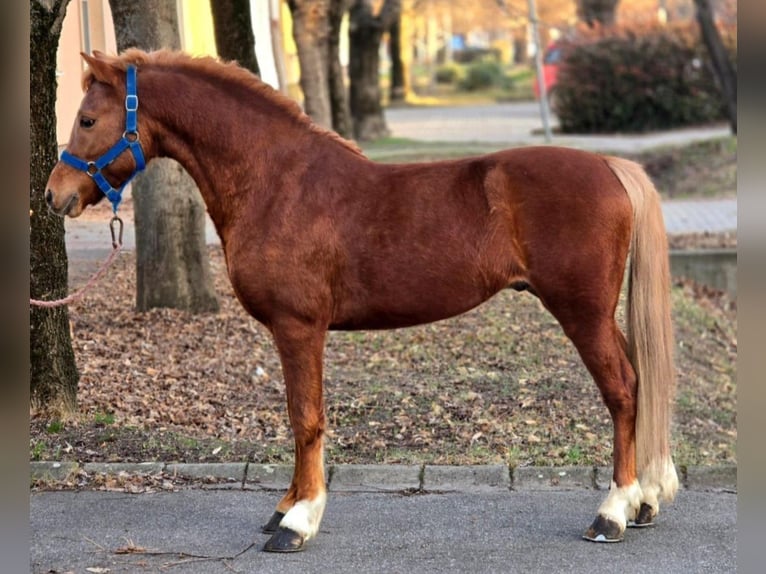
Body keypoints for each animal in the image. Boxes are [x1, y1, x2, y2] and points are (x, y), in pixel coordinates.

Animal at [45, 49, 678, 553]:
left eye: (88, 118)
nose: (55, 195)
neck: (276, 181)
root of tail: (610, 166)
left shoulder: (298, 327)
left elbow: (305, 418)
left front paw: (297, 521)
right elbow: (299, 417)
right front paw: (285, 506)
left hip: (582, 313)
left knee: (623, 390)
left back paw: (613, 512)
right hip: (599, 316)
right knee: (641, 382)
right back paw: (645, 501)